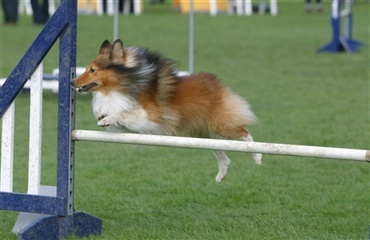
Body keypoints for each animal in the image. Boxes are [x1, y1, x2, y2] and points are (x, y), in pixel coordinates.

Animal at [72, 39, 262, 182]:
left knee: (244, 133)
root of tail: (216, 83)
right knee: (219, 150)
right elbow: (117, 113)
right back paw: (221, 172)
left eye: (92, 70)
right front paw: (103, 115)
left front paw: (106, 119)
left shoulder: (149, 117)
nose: (72, 82)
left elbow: (124, 112)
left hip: (220, 124)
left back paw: (257, 156)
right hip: (201, 132)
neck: (125, 83)